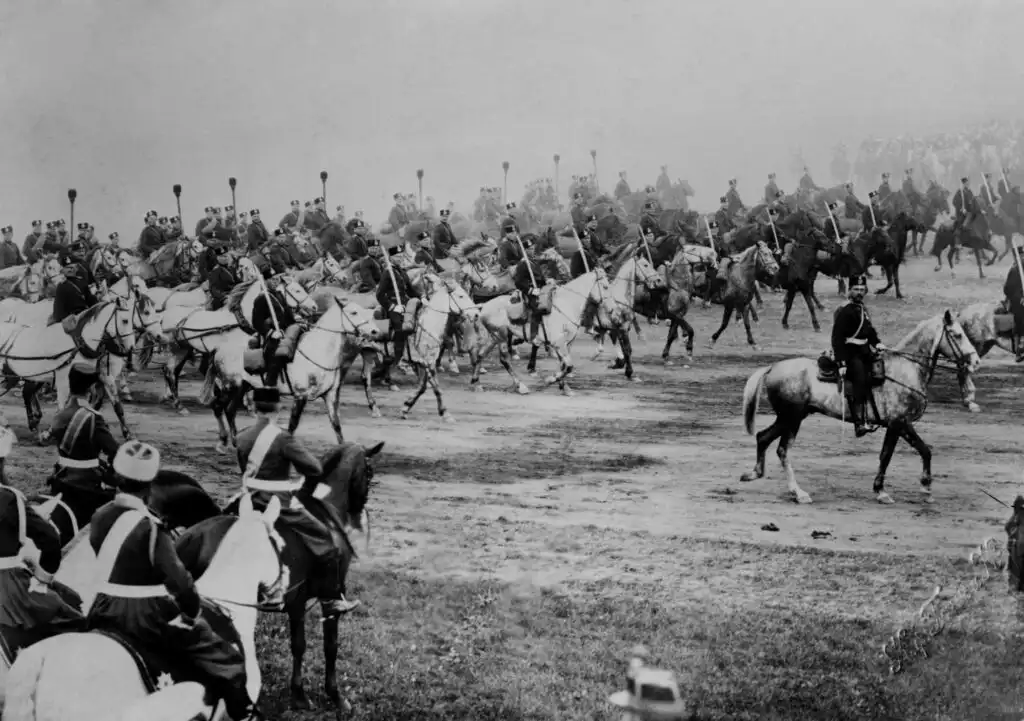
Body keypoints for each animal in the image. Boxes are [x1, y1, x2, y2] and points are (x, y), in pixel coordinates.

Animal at [468, 268, 618, 397]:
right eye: (605, 287)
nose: (612, 308)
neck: (566, 306)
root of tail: (484, 306)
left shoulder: (566, 344)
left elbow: (564, 365)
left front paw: (565, 388)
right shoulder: (558, 343)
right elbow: (568, 366)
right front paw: (551, 379)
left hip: (493, 338)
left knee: (480, 355)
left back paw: (476, 383)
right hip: (501, 336)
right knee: (504, 360)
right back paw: (520, 386)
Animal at [741, 309, 978, 501]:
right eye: (957, 335)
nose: (975, 361)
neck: (907, 368)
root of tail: (772, 367)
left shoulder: (901, 425)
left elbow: (923, 450)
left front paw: (926, 488)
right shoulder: (898, 423)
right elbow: (888, 455)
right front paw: (882, 491)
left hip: (793, 418)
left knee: (771, 443)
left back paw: (772, 481)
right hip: (790, 417)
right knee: (773, 443)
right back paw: (790, 489)